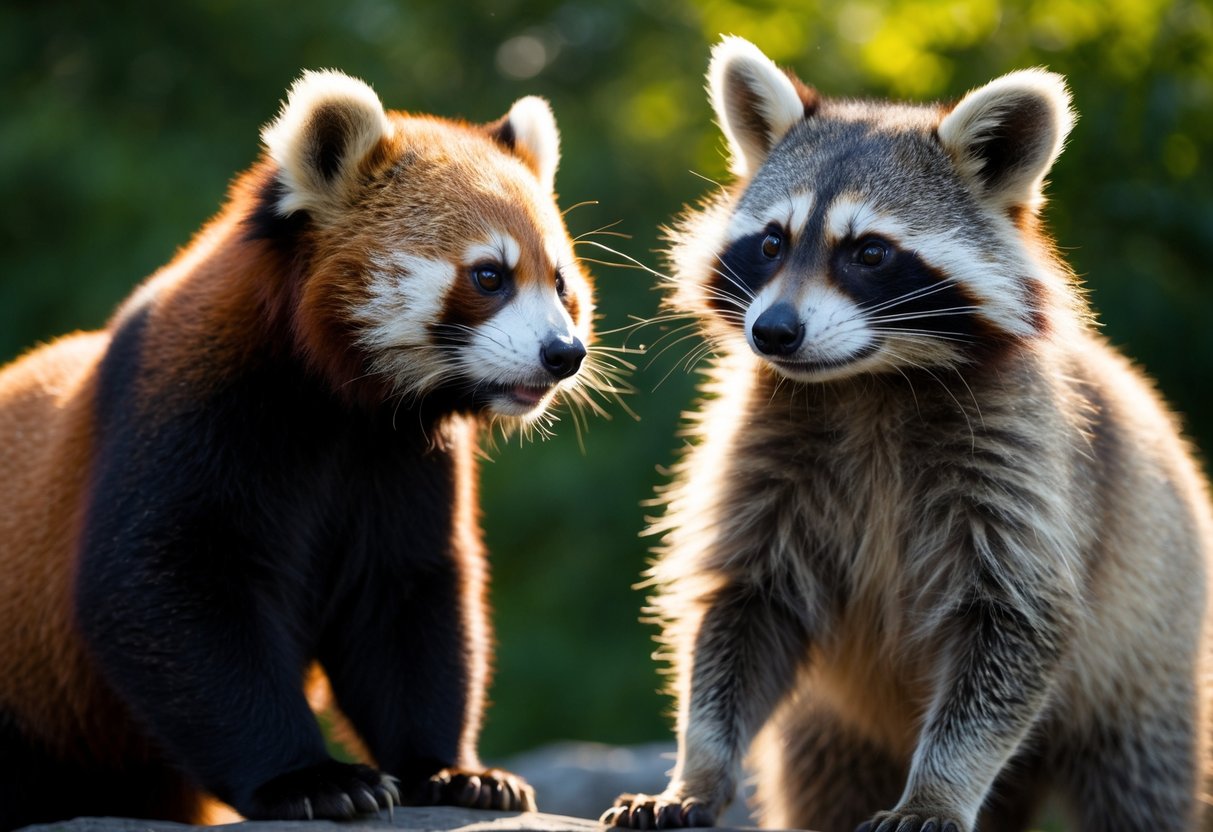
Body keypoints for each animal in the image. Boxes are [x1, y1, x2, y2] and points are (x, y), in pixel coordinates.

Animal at [602, 37, 1213, 832]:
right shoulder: (763, 449)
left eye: (869, 252)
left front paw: (938, 788)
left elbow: (1015, 624)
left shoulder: (1026, 468)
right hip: (829, 731)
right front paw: (698, 769)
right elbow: (742, 609)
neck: (868, 379)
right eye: (771, 243)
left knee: (1140, 785)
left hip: (1150, 665)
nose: (773, 332)